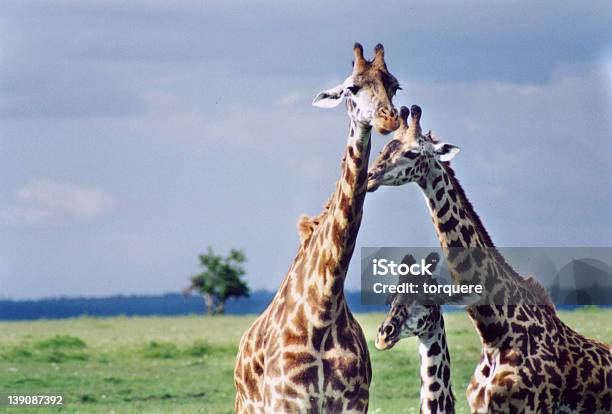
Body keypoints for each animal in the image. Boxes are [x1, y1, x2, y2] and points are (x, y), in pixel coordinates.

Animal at [234, 43, 402, 412]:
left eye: (394, 86)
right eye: (353, 87)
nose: (389, 118)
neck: (323, 312)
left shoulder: (354, 402)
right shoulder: (288, 402)